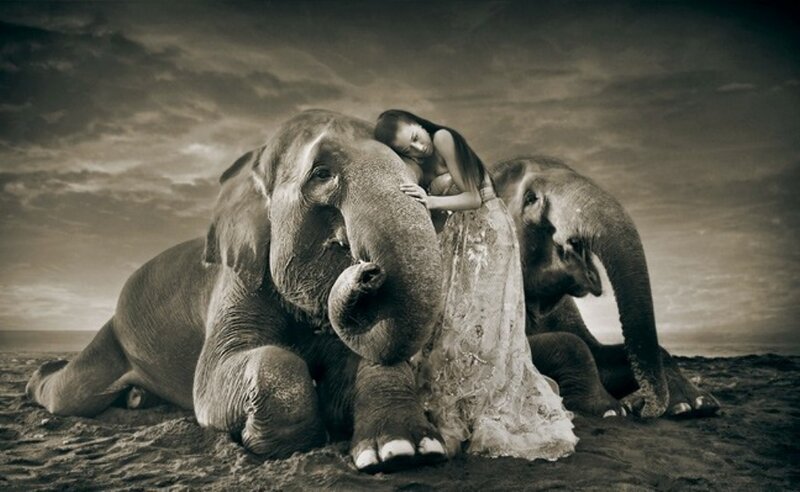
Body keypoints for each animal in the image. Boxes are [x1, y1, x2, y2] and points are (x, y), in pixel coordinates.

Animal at [26, 109, 455, 473]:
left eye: (419, 178)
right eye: (321, 173)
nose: (367, 271)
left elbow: (366, 362)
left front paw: (402, 450)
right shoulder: (236, 286)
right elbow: (214, 381)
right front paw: (277, 444)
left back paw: (136, 399)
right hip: (112, 338)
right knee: (71, 394)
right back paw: (41, 378)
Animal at [491, 155, 720, 419]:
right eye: (530, 198)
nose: (646, 409)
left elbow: (603, 356)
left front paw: (693, 405)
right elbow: (567, 344)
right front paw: (609, 411)